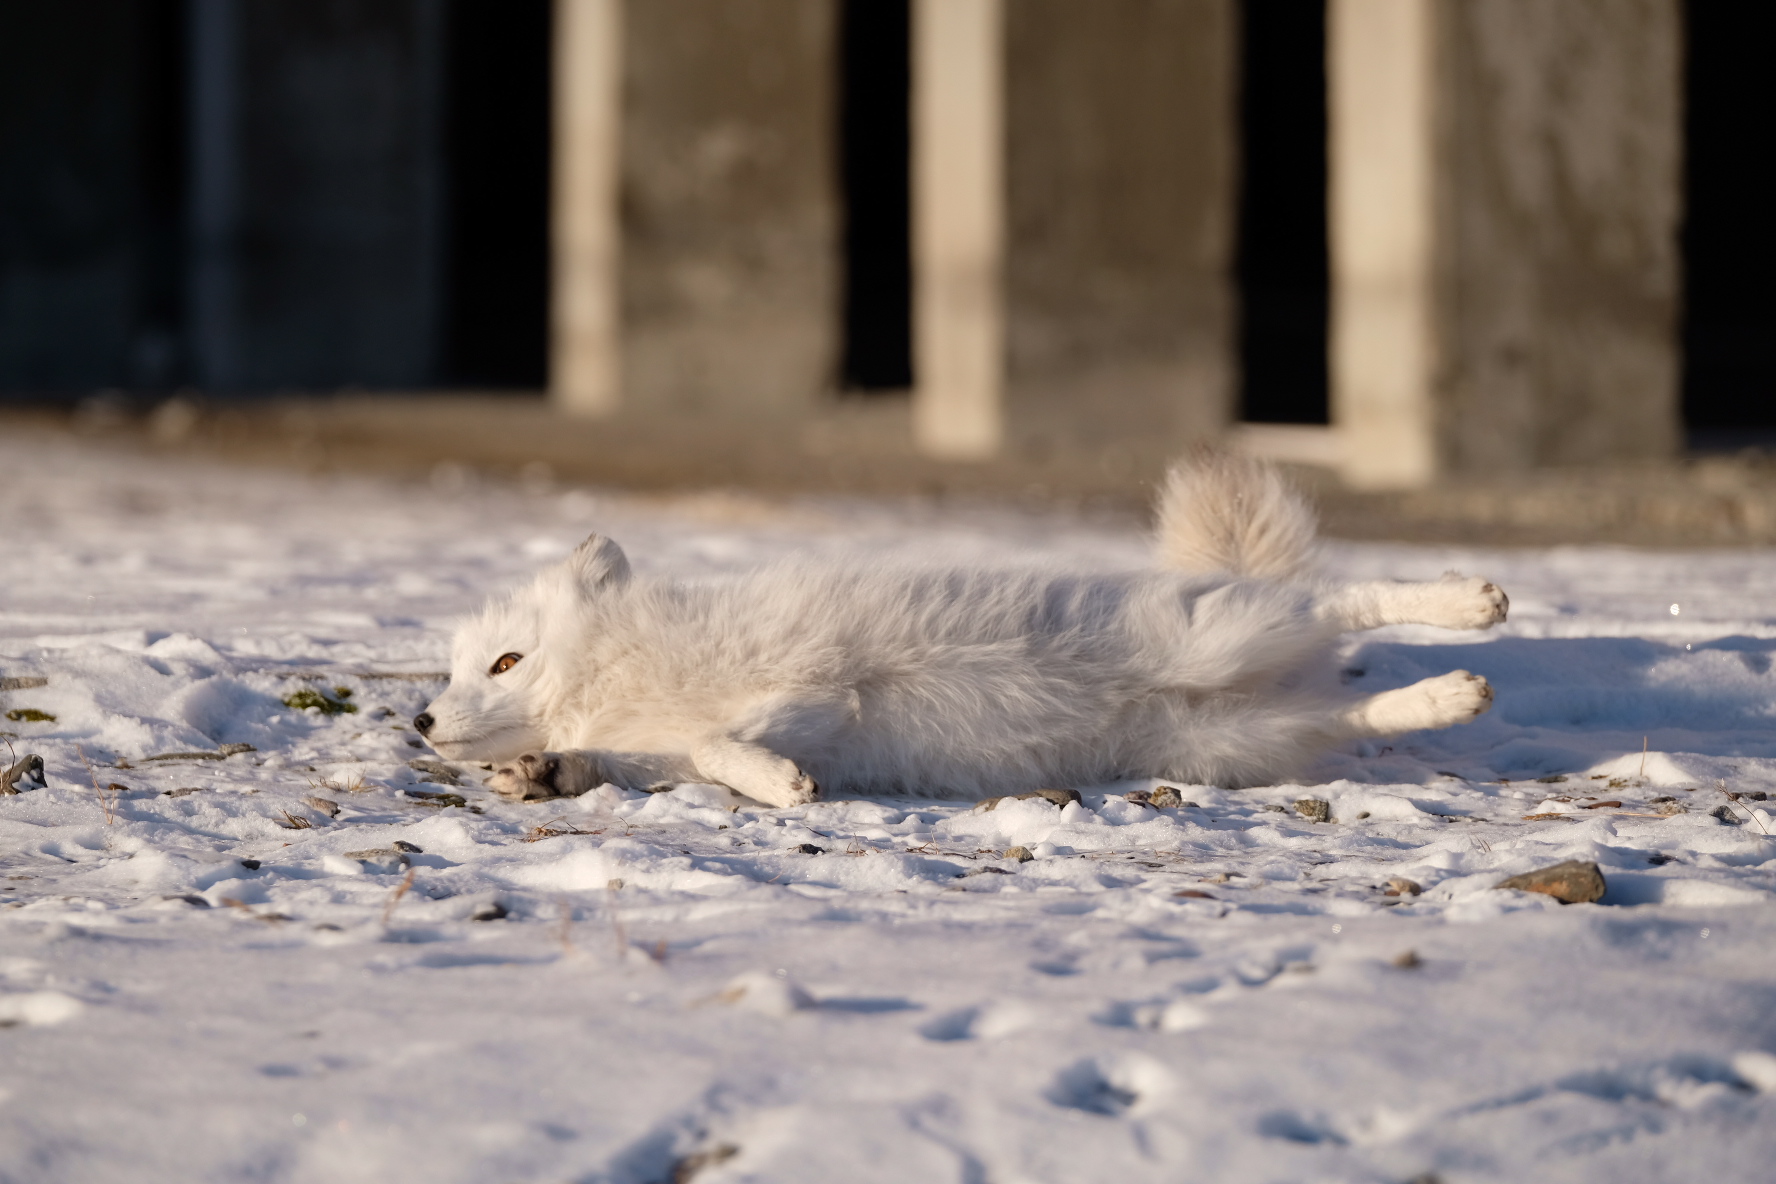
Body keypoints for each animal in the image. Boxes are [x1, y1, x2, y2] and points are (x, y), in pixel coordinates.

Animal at [408, 454, 1506, 805]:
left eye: (506, 659)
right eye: (454, 669)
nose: (418, 721)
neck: (622, 673)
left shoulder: (817, 685)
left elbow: (725, 740)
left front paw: (784, 783)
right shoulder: (664, 748)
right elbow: (675, 760)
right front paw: (541, 773)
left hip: (1220, 634)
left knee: (1343, 601)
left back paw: (1474, 606)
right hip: (1232, 739)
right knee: (1356, 709)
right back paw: (1452, 694)